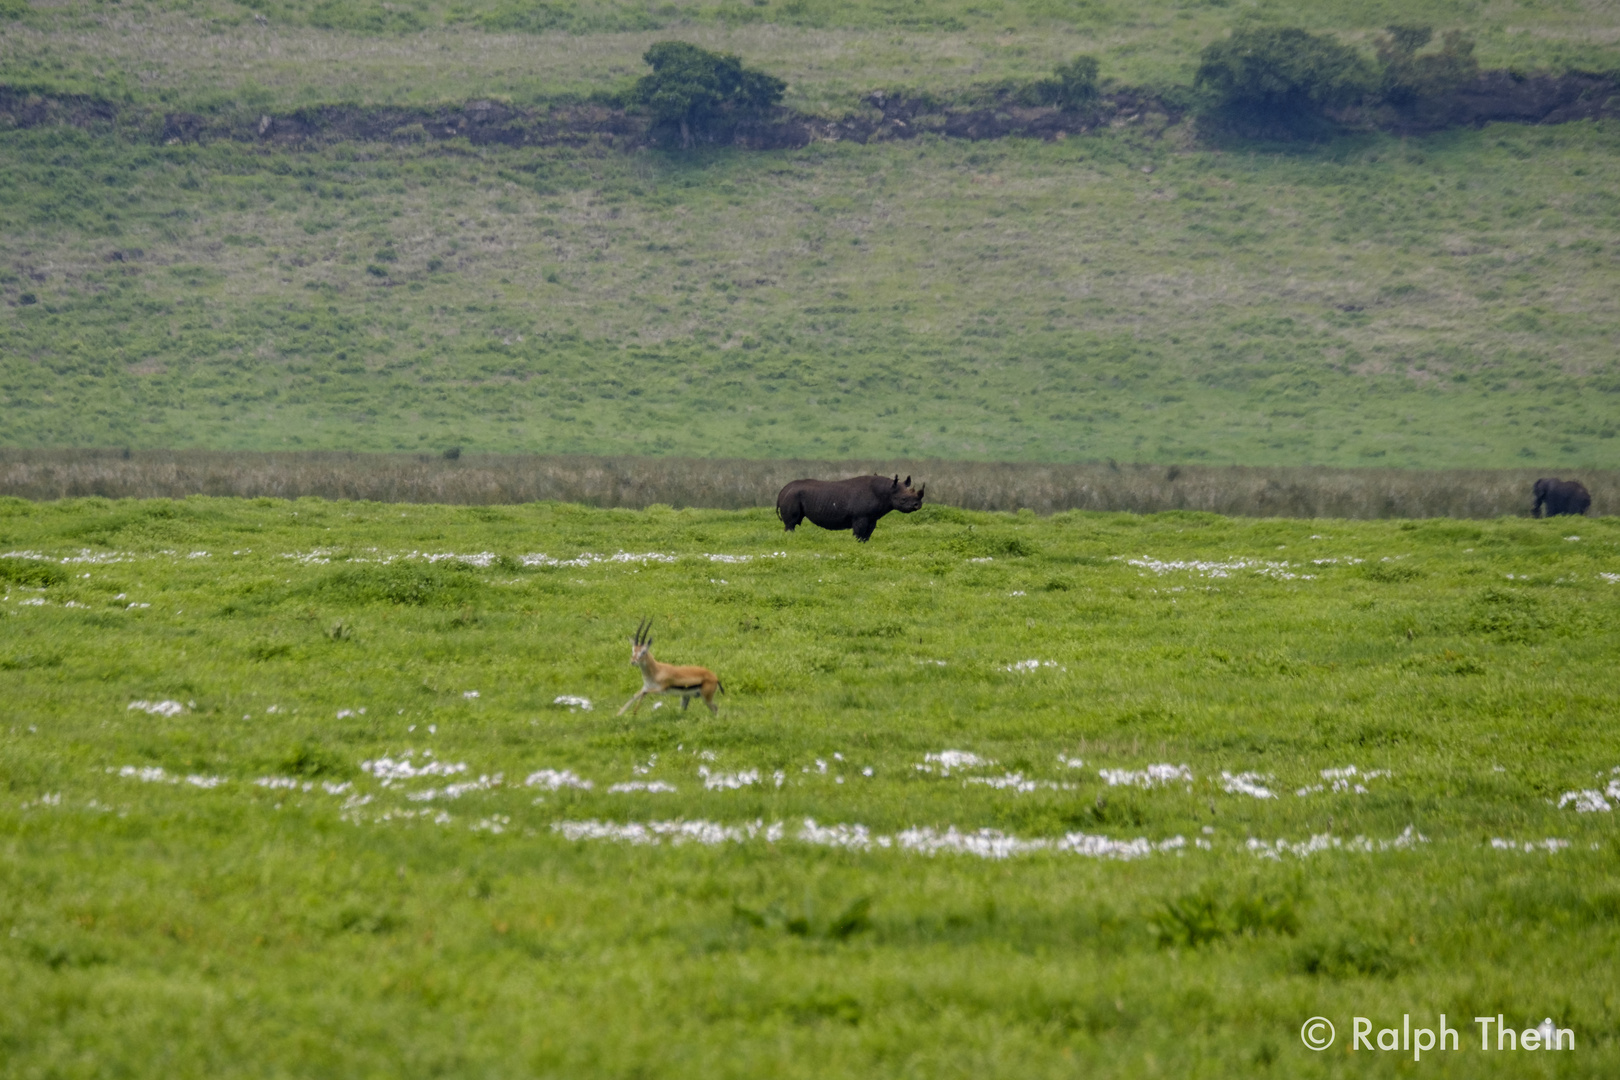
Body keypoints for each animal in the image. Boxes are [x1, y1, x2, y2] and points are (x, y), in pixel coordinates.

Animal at [780, 472, 933, 540]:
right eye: (903, 499)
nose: (917, 505)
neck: (886, 491)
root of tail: (783, 489)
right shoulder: (860, 517)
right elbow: (858, 533)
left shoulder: (872, 518)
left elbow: (867, 534)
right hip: (792, 496)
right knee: (791, 523)